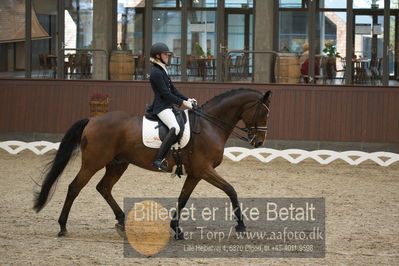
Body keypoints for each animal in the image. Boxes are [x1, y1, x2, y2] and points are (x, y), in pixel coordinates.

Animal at [34, 87, 272, 239]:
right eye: (263, 112)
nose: (259, 142)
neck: (208, 125)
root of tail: (92, 120)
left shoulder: (196, 173)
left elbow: (183, 199)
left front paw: (176, 229)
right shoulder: (204, 169)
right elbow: (230, 190)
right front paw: (241, 225)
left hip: (118, 164)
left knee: (103, 187)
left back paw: (122, 222)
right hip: (93, 163)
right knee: (75, 187)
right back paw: (63, 226)